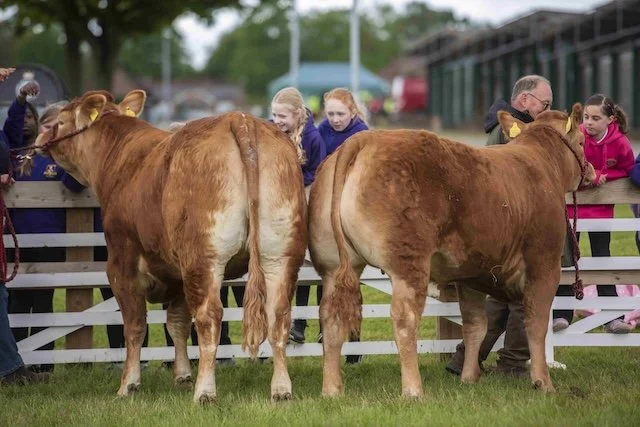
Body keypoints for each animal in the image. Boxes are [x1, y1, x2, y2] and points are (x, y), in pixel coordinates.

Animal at [35, 90, 307, 403]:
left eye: (60, 121)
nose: (41, 135)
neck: (121, 159)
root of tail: (239, 119)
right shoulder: (176, 273)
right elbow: (177, 323)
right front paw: (182, 375)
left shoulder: (122, 265)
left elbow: (135, 326)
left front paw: (129, 384)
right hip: (279, 255)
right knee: (279, 314)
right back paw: (281, 389)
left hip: (204, 261)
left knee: (209, 318)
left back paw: (205, 392)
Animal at [308, 104, 595, 398]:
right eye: (582, 142)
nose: (592, 171)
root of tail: (362, 140)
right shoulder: (544, 263)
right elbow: (535, 323)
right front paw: (543, 382)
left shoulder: (471, 274)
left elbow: (474, 326)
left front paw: (468, 377)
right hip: (409, 264)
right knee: (404, 320)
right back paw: (413, 390)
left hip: (332, 265)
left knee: (330, 318)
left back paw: (331, 389)